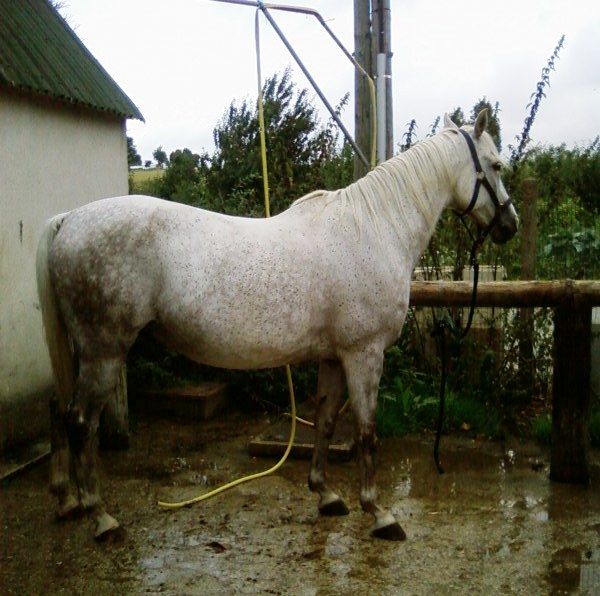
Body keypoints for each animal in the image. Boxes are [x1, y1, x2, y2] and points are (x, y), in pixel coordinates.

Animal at [36, 110, 517, 541]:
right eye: (495, 165)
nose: (510, 226)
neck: (373, 228)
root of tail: (70, 219)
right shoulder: (364, 354)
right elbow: (366, 431)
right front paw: (378, 513)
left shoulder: (334, 356)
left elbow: (325, 421)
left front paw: (326, 494)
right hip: (104, 351)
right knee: (80, 421)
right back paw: (101, 517)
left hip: (83, 350)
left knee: (59, 411)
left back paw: (66, 500)